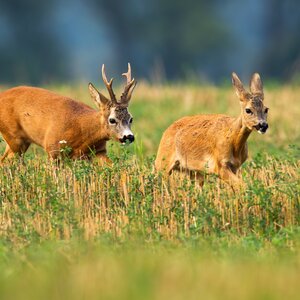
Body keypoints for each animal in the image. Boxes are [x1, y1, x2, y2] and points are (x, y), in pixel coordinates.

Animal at [0, 61, 136, 163]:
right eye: (112, 119)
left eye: (131, 118)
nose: (129, 136)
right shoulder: (52, 149)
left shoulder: (99, 151)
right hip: (14, 137)